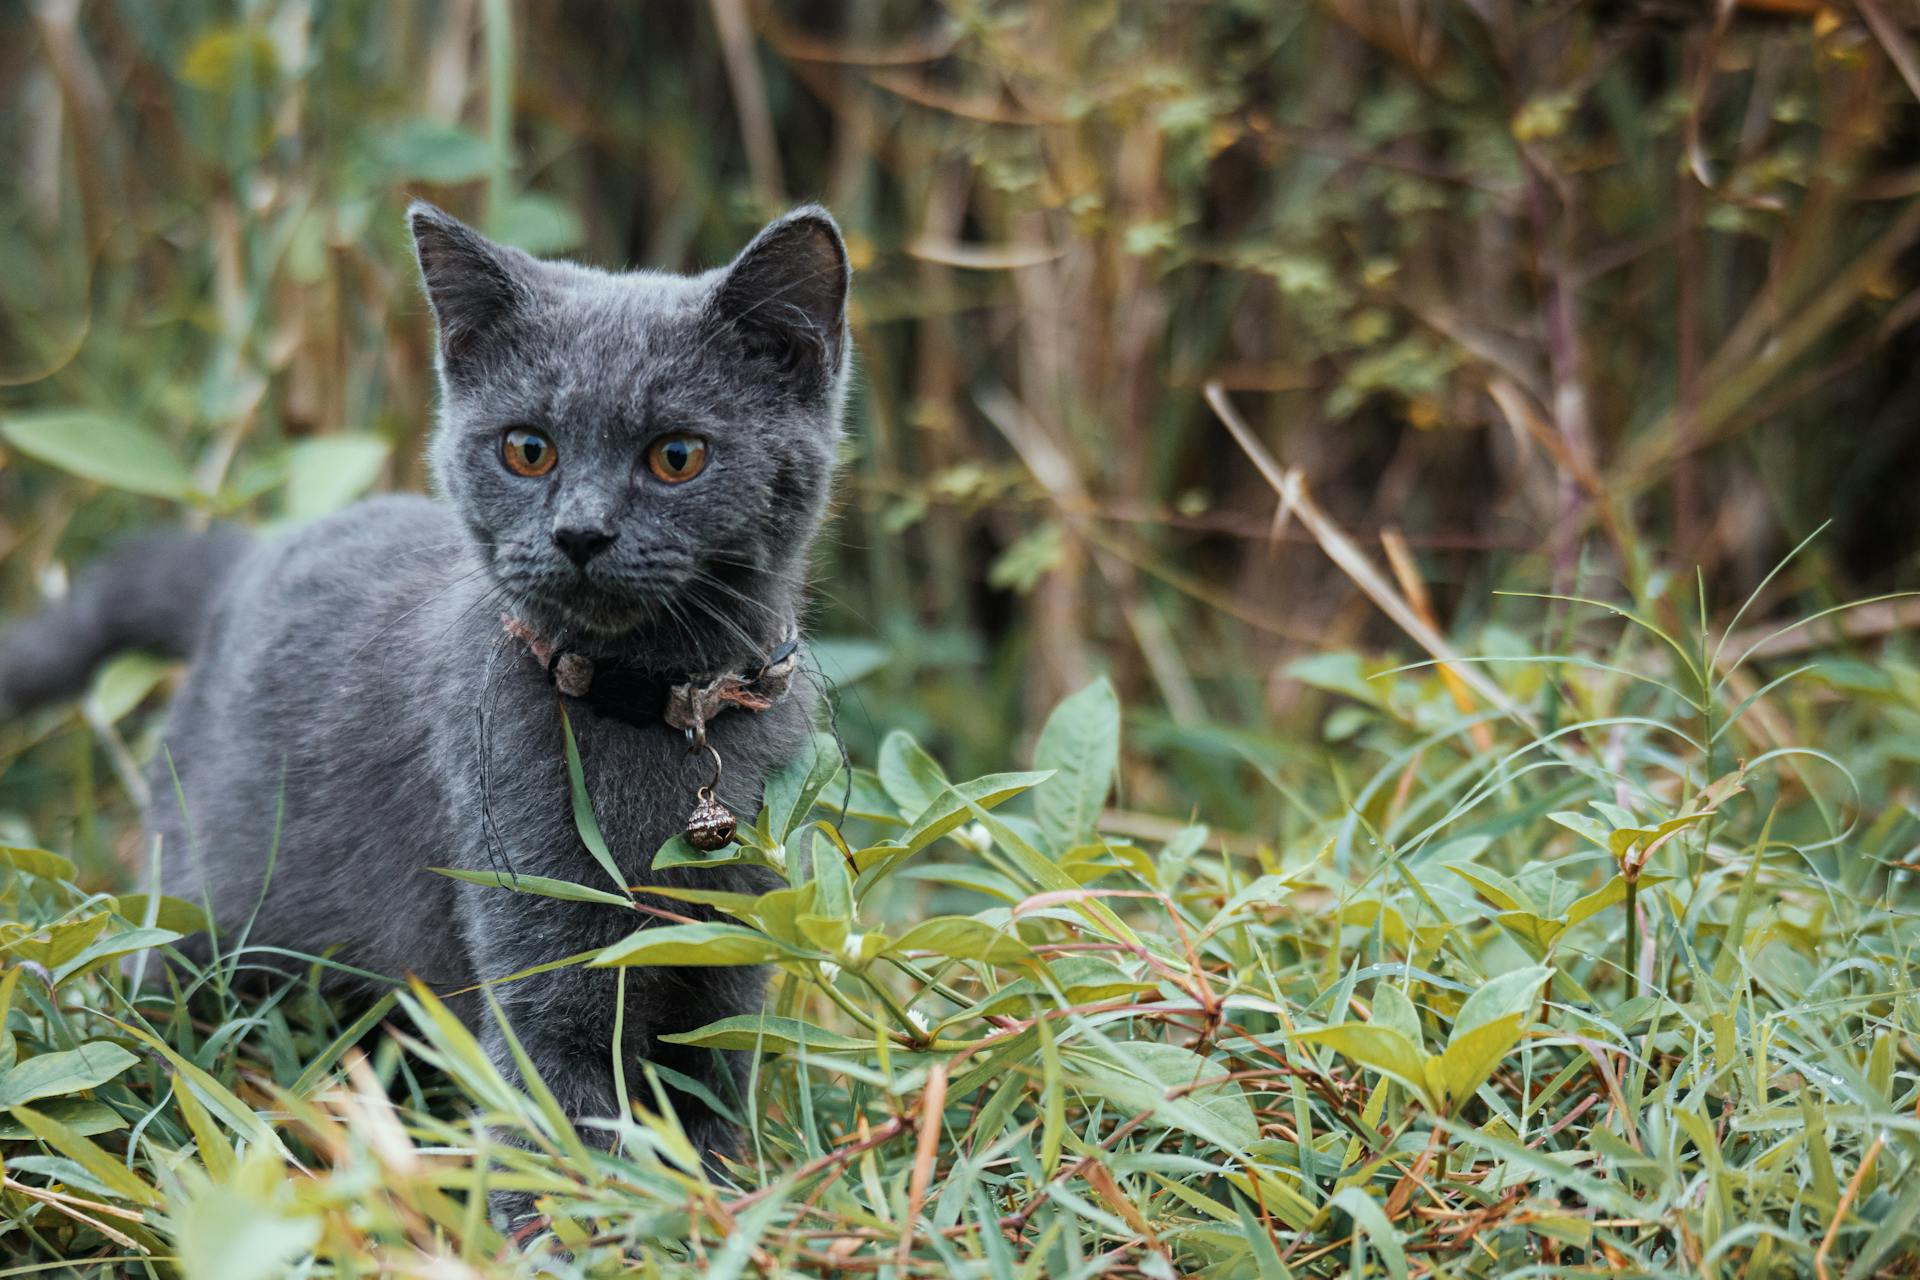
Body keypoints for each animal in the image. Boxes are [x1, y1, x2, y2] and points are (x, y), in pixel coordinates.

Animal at [0, 202, 856, 1205]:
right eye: (528, 449)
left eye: (676, 457)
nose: (580, 532)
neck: (658, 707)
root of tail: (248, 559)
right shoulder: (537, 932)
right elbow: (557, 1109)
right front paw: (575, 1220)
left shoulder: (733, 951)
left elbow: (710, 1091)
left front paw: (720, 1198)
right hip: (203, 909)